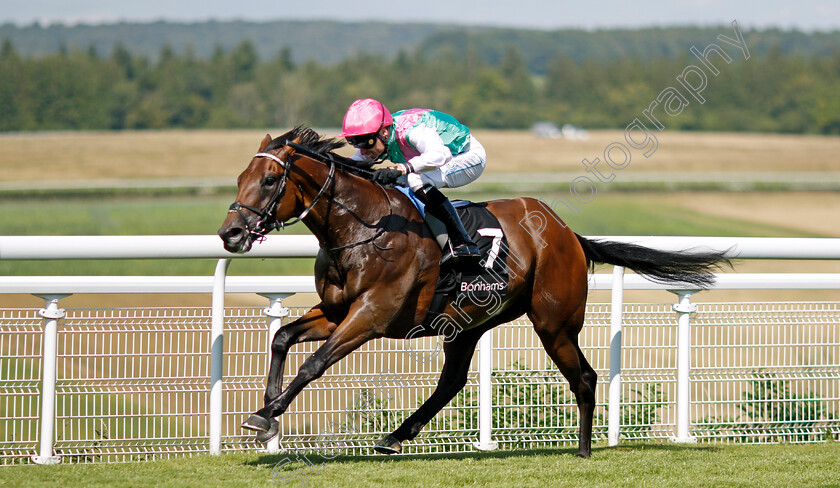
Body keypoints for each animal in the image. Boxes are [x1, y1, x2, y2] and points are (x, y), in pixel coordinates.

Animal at [218, 126, 728, 458]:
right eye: (239, 178)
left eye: (269, 180)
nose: (230, 234)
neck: (362, 228)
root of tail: (567, 233)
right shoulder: (336, 309)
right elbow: (282, 338)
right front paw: (267, 413)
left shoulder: (372, 314)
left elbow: (315, 363)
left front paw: (266, 414)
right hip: (468, 322)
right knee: (452, 380)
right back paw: (396, 435)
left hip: (554, 323)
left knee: (583, 376)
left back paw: (584, 451)